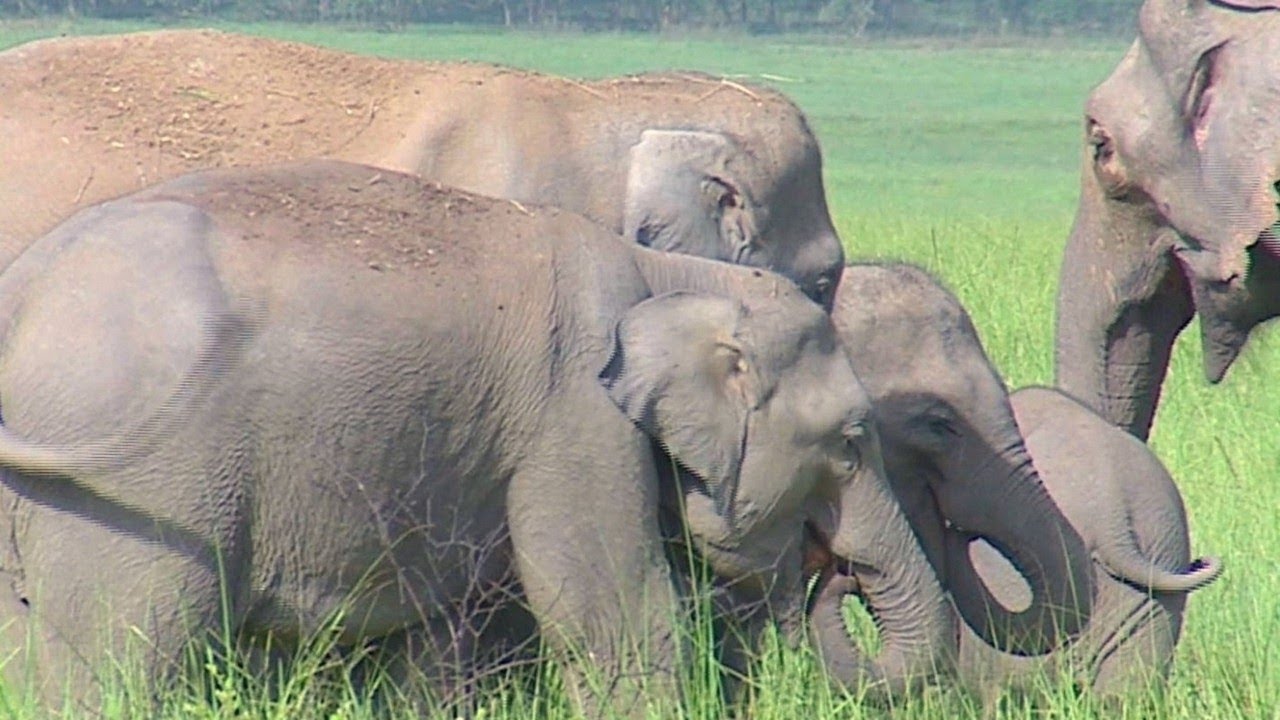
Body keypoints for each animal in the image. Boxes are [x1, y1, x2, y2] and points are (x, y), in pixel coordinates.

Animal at [0, 159, 945, 715]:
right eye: (851, 441)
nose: (832, 576)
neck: (672, 276)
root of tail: (24, 298)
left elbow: (432, 650)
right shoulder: (574, 411)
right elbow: (613, 611)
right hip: (141, 502)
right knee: (123, 658)